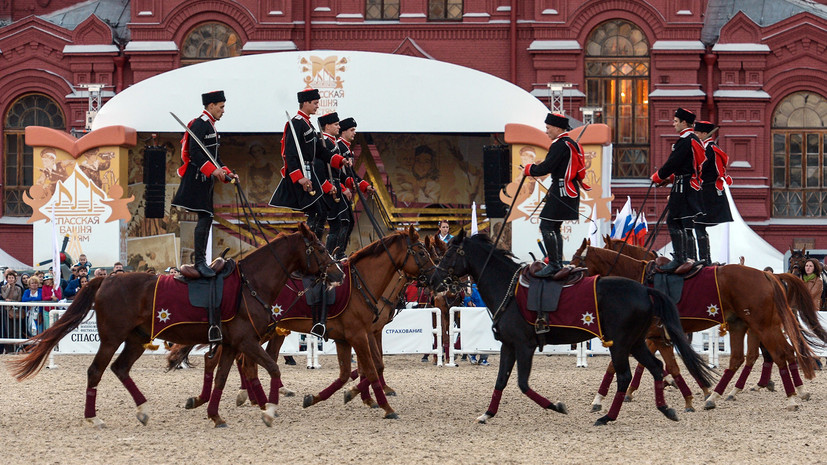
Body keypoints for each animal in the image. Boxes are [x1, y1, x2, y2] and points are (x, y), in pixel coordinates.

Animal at [10, 225, 340, 428]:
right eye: (320, 248)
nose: (337, 272)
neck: (251, 284)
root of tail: (108, 279)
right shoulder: (246, 341)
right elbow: (271, 367)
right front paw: (269, 410)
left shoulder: (231, 343)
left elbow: (221, 378)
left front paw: (215, 414)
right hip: (112, 338)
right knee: (96, 372)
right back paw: (93, 418)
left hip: (136, 339)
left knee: (120, 369)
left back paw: (143, 409)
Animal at [430, 230, 716, 426]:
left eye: (449, 253)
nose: (434, 279)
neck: (510, 290)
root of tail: (645, 289)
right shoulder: (509, 346)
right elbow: (501, 381)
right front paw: (487, 414)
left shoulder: (524, 346)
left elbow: (523, 384)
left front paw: (556, 406)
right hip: (635, 343)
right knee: (655, 368)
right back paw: (665, 408)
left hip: (621, 345)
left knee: (625, 376)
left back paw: (608, 417)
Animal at [572, 241, 820, 412]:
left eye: (577, 262)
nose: (569, 283)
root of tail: (765, 274)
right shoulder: (656, 337)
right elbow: (671, 367)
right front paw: (690, 392)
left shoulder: (641, 338)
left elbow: (616, 366)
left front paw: (600, 399)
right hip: (742, 325)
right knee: (745, 358)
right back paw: (719, 396)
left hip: (762, 326)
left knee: (779, 354)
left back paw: (791, 397)